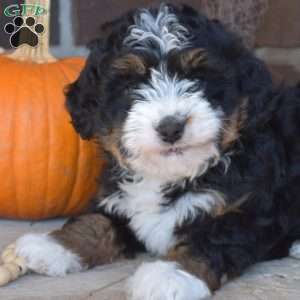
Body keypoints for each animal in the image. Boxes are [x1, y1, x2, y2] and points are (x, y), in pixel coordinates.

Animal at [6, 2, 300, 300]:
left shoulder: (249, 209)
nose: (171, 127)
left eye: (197, 79)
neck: (171, 175)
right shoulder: (119, 199)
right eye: (130, 86)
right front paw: (52, 245)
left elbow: (210, 239)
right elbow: (96, 220)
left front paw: (171, 275)